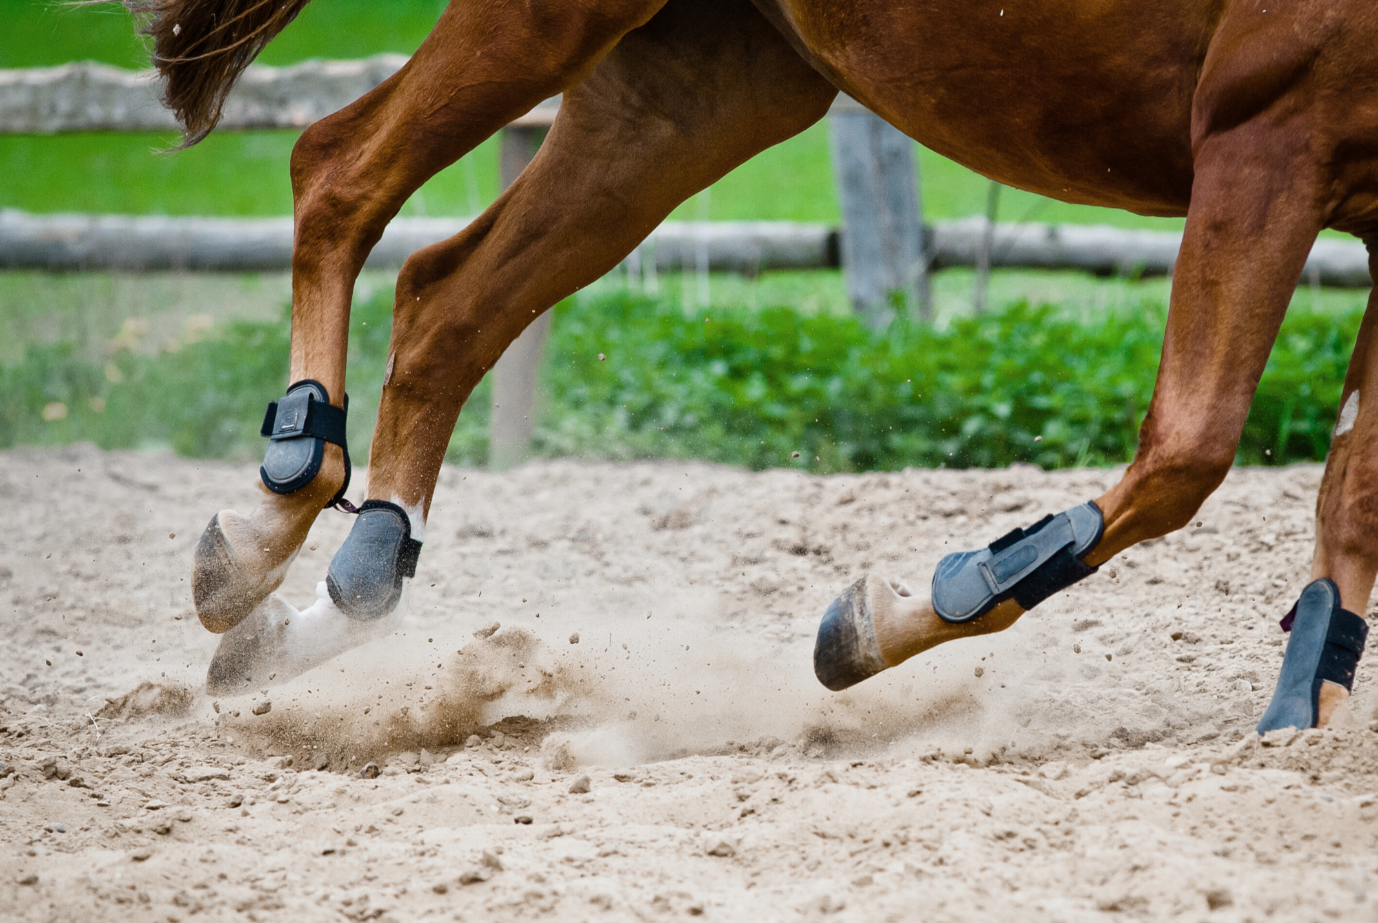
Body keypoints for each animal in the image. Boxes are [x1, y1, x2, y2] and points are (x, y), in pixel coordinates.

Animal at [121, 0, 1378, 738]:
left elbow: (1347, 495)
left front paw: (1302, 707)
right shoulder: (1267, 132)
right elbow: (1189, 450)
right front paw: (896, 612)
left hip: (692, 93)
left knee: (446, 299)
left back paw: (332, 600)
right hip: (564, 22)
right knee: (338, 170)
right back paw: (274, 507)